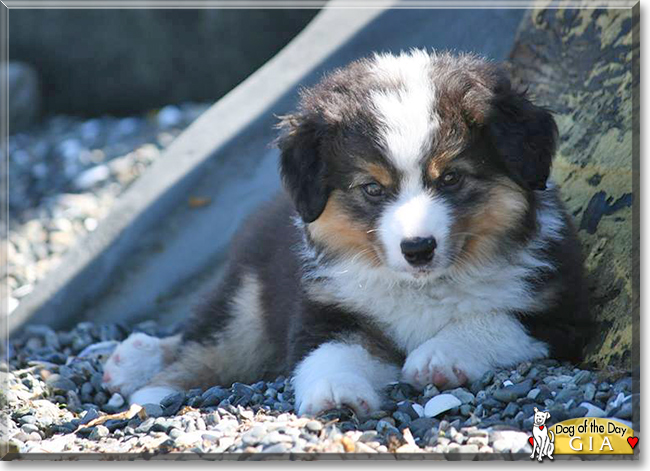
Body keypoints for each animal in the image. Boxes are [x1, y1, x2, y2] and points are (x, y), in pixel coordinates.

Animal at [101, 51, 588, 418]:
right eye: (372, 188)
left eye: (451, 178)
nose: (417, 249)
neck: (422, 288)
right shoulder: (323, 309)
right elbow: (331, 353)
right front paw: (336, 395)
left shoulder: (557, 309)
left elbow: (494, 320)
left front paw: (440, 357)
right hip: (248, 292)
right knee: (210, 339)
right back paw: (146, 377)